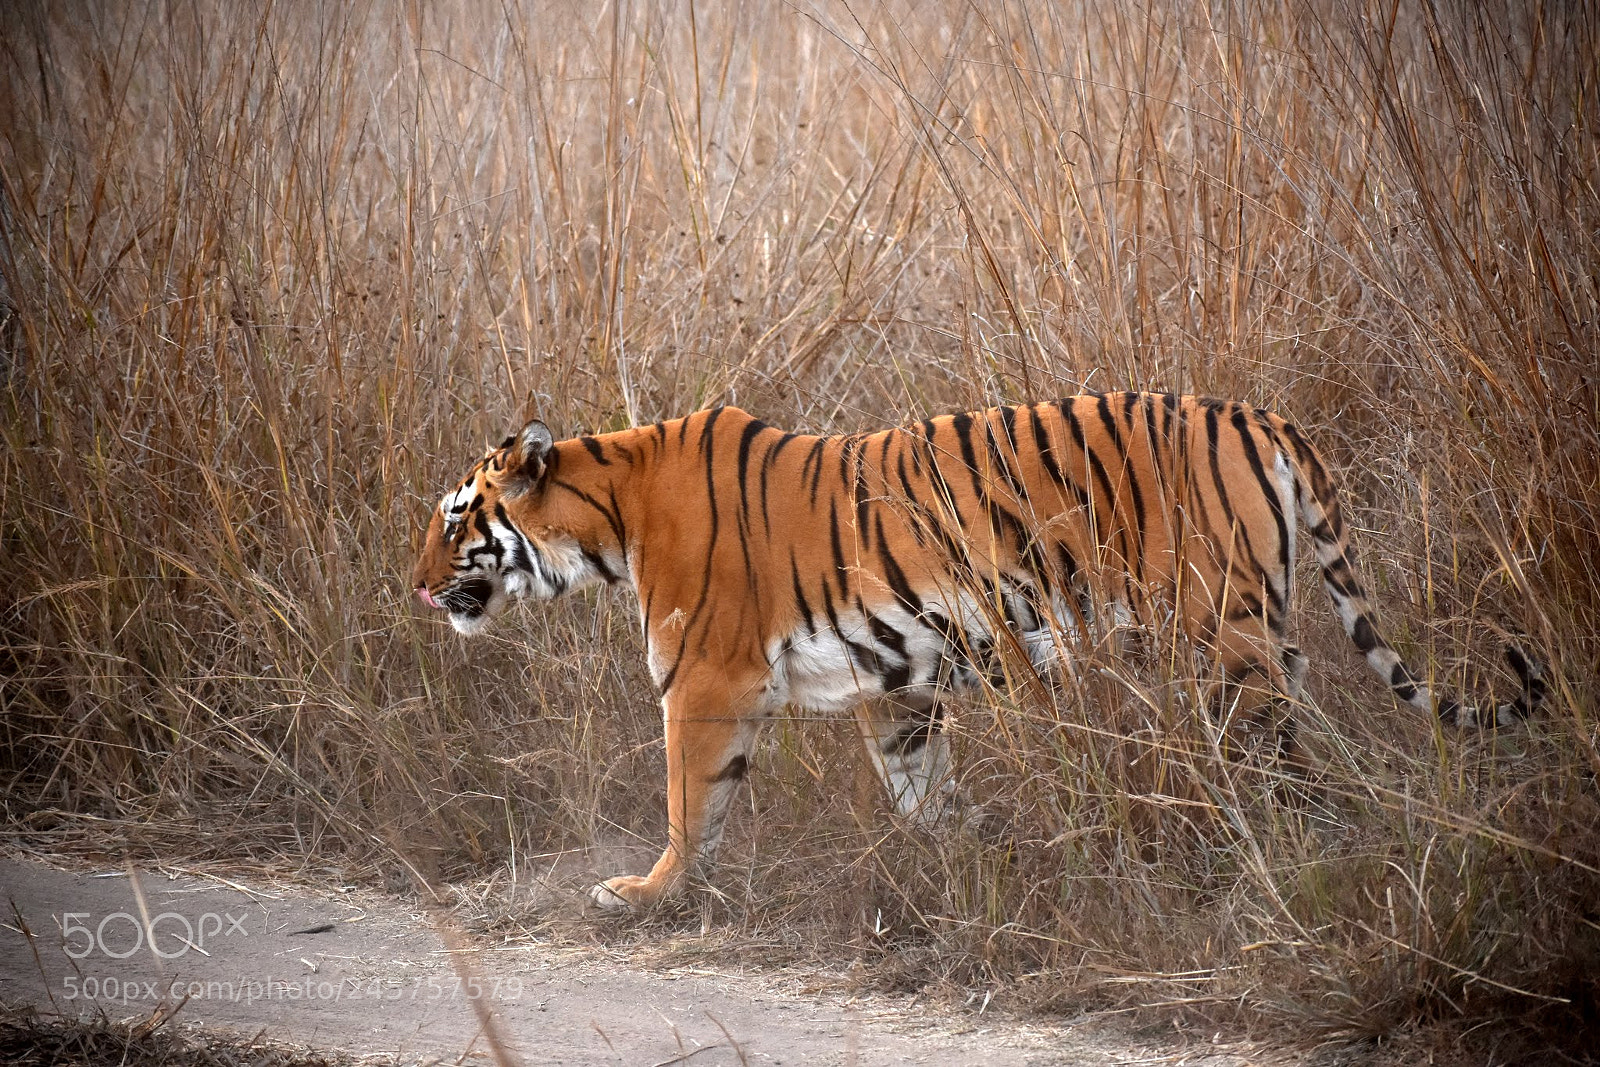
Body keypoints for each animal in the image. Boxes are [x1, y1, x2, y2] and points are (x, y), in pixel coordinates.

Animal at [411, 393, 1545, 910]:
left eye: (455, 517)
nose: (415, 583)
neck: (611, 511)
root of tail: (1256, 411)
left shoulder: (704, 683)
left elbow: (691, 806)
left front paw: (646, 894)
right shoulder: (894, 687)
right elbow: (924, 795)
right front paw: (972, 867)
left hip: (1225, 638)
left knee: (1286, 763)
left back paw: (1286, 862)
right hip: (1263, 631)